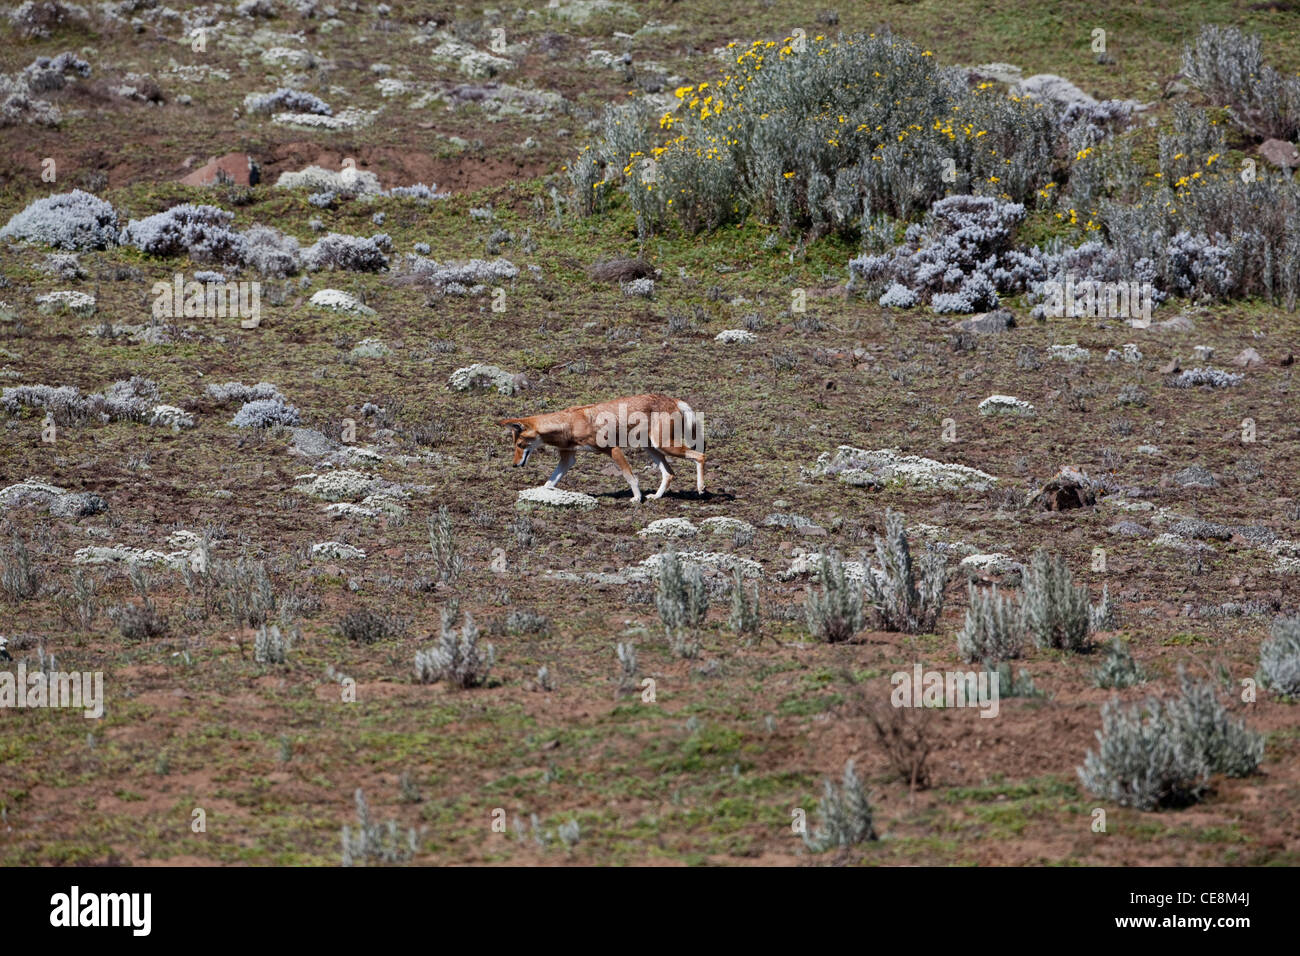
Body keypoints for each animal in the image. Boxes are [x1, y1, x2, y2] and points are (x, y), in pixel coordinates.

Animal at [496, 392, 707, 504]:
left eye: (520, 445)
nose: (514, 465)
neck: (569, 424)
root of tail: (673, 399)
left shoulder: (613, 450)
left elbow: (630, 477)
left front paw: (636, 498)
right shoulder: (568, 459)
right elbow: (548, 483)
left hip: (664, 446)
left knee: (700, 456)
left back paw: (701, 488)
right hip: (651, 448)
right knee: (669, 473)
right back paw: (656, 496)